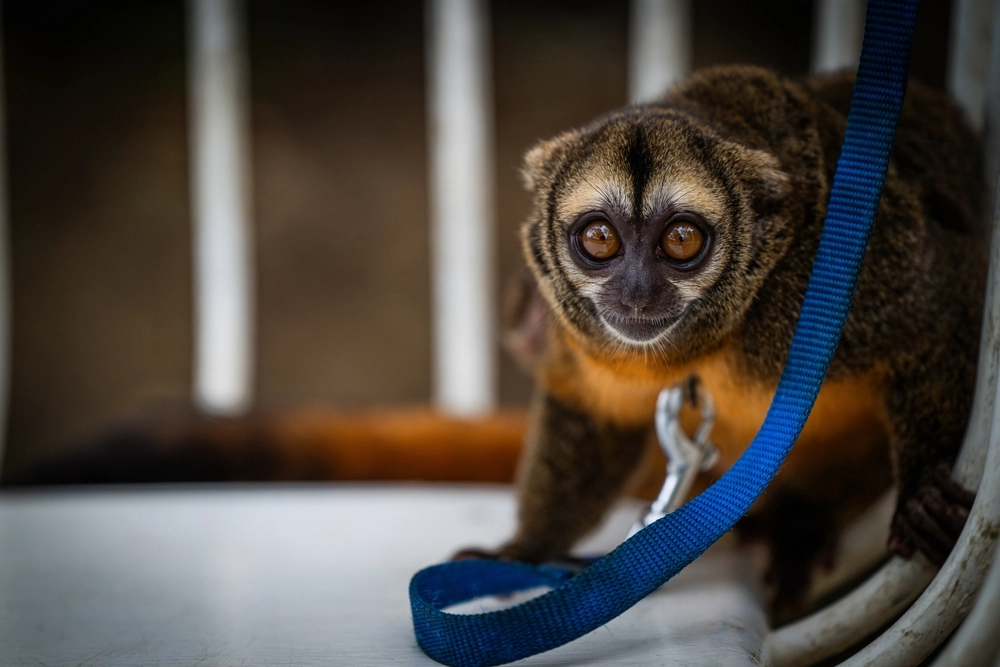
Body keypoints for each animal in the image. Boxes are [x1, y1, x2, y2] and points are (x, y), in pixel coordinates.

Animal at [460, 65, 986, 612]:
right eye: (600, 239)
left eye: (681, 239)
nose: (637, 292)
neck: (700, 347)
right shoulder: (581, 340)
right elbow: (594, 415)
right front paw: (523, 552)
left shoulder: (829, 284)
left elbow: (942, 304)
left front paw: (922, 490)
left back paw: (800, 527)